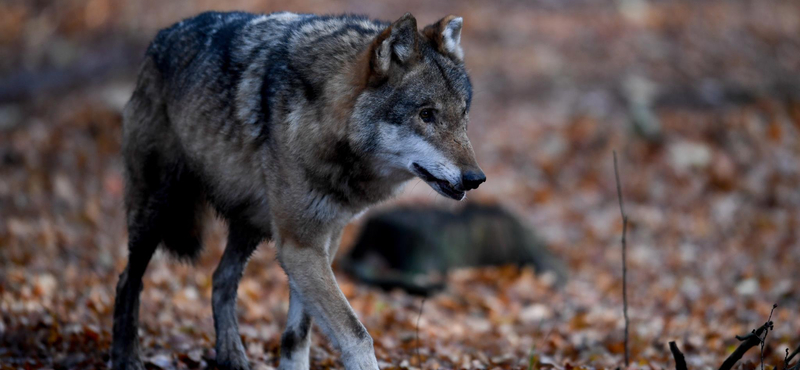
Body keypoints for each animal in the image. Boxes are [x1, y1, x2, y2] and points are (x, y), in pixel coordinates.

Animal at [112, 10, 484, 368]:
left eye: (464, 115)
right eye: (426, 114)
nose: (475, 178)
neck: (323, 119)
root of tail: (161, 37)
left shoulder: (325, 240)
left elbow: (298, 333)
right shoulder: (300, 244)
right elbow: (357, 336)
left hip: (250, 226)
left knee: (220, 279)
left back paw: (232, 355)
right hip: (157, 210)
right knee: (128, 281)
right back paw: (127, 357)